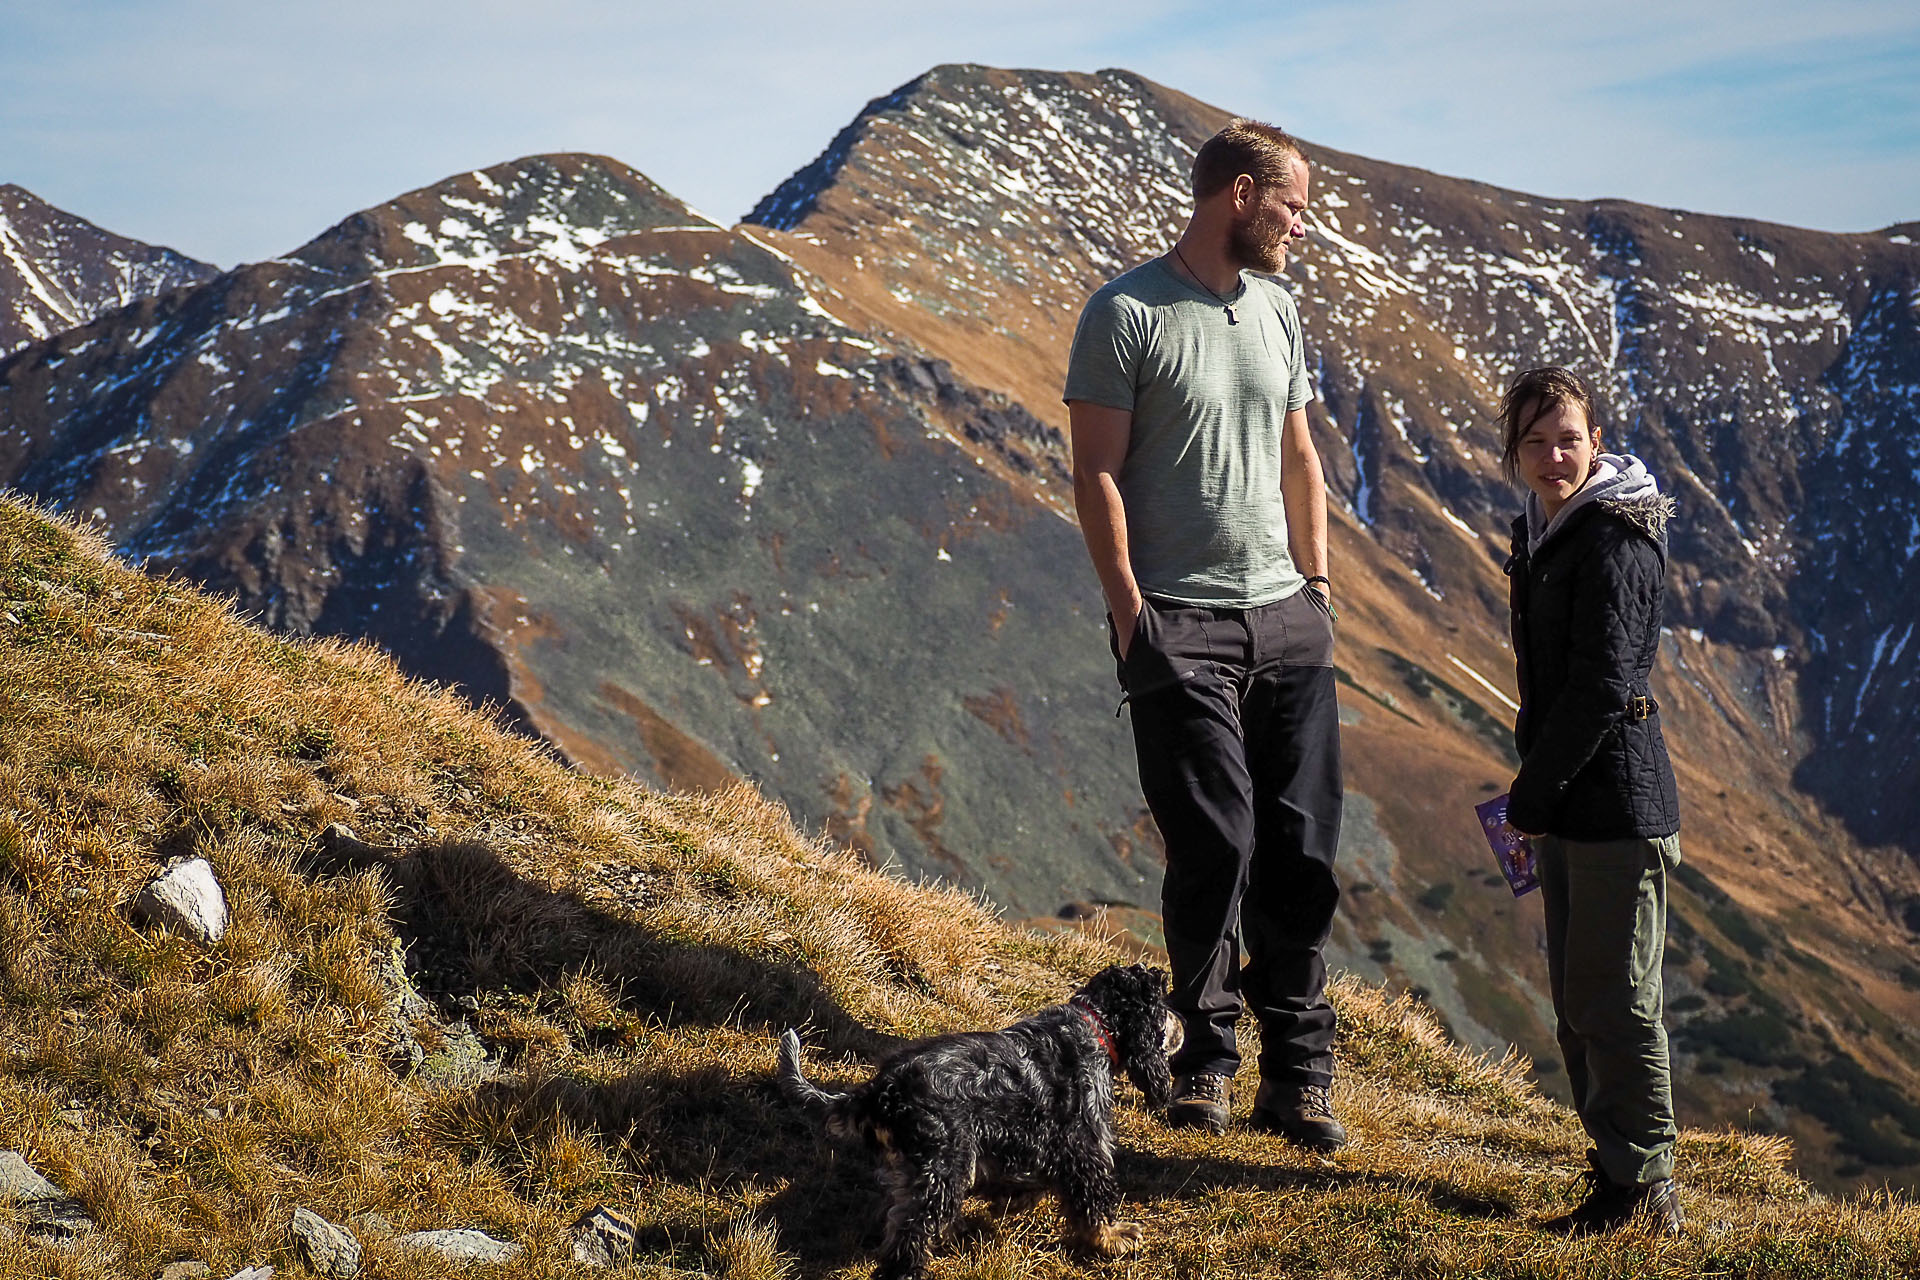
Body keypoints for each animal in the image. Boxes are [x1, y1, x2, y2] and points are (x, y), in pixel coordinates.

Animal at [775, 959, 1167, 1280]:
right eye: (1161, 1011)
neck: (1094, 1024)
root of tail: (881, 1090)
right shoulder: (1085, 1142)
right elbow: (1092, 1198)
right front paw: (1114, 1237)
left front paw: (1014, 1200)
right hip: (945, 1166)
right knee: (909, 1234)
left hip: (922, 1167)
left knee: (898, 1213)